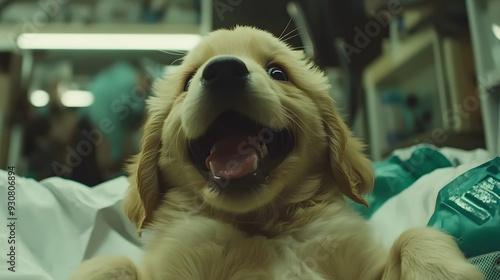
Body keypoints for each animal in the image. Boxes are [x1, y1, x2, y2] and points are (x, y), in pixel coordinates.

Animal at [69, 26, 480, 280]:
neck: (266, 227)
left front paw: (442, 272)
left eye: (277, 72)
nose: (223, 71)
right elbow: (112, 261)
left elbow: (415, 233)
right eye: (187, 81)